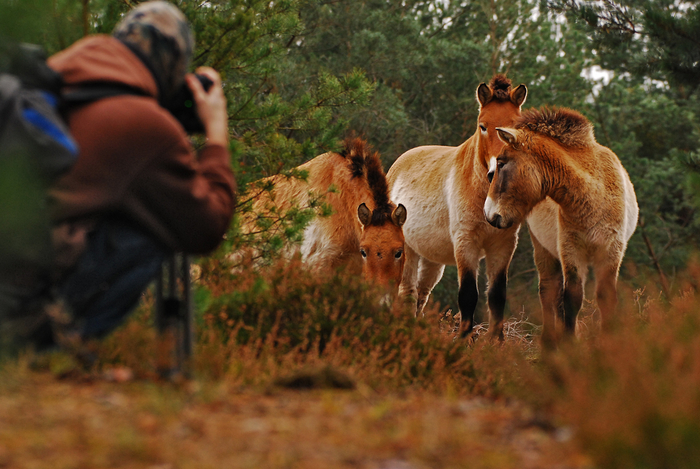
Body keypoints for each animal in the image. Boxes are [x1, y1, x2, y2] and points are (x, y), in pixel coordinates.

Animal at [386, 74, 528, 340]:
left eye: (514, 128)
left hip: (431, 259)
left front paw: (497, 342)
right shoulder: (466, 243)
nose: (496, 171)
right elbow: (468, 296)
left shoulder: (502, 245)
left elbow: (497, 296)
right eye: (483, 126)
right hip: (408, 252)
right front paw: (463, 341)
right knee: (407, 293)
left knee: (421, 295)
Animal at [482, 107, 640, 344]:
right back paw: (548, 343)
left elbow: (606, 297)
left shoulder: (611, 251)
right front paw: (568, 344)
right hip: (544, 251)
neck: (594, 195)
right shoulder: (571, 251)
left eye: (501, 163)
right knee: (548, 292)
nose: (489, 215)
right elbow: (572, 299)